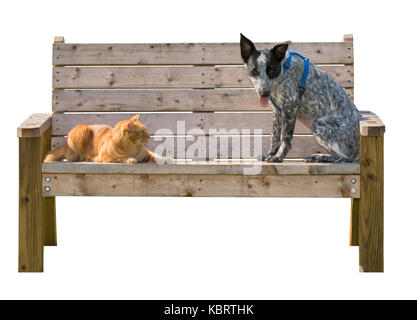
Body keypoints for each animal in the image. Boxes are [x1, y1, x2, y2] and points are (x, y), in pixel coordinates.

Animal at [43, 115, 171, 164]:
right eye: (142, 131)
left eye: (145, 130)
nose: (149, 136)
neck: (132, 148)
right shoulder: (106, 156)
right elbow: (120, 157)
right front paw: (130, 159)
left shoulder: (146, 154)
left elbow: (156, 155)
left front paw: (167, 159)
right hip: (82, 129)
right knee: (71, 157)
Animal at [239, 34, 362, 162]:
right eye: (254, 71)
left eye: (271, 71)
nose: (264, 93)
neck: (284, 70)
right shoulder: (278, 111)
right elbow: (275, 137)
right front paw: (269, 154)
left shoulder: (290, 107)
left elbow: (285, 138)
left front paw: (278, 157)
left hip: (319, 125)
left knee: (343, 158)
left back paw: (319, 157)